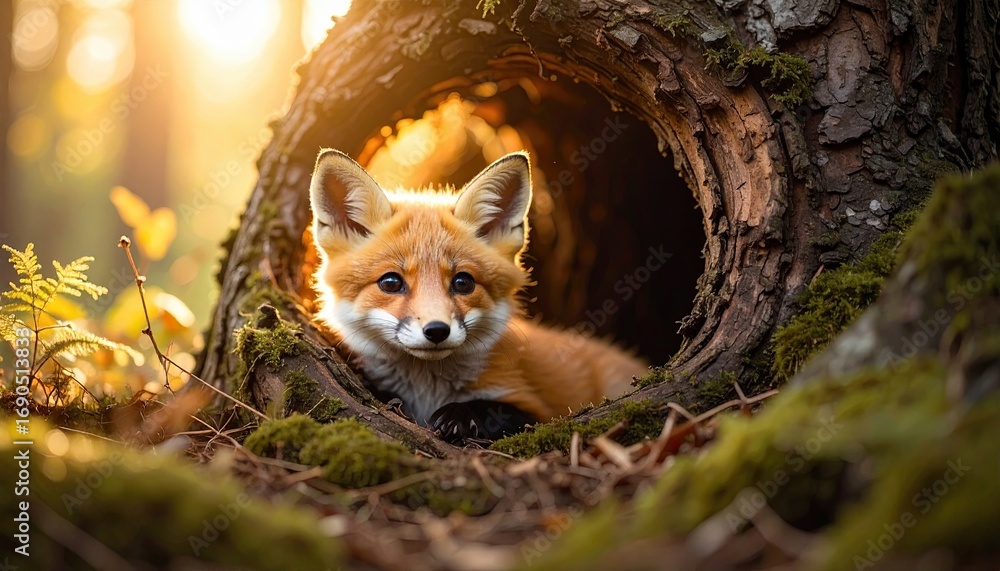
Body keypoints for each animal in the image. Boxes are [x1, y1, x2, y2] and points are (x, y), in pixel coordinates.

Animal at [308, 148, 648, 441]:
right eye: (391, 282)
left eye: (463, 282)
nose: (436, 331)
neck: (428, 391)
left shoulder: (536, 408)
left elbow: (497, 410)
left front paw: (461, 415)